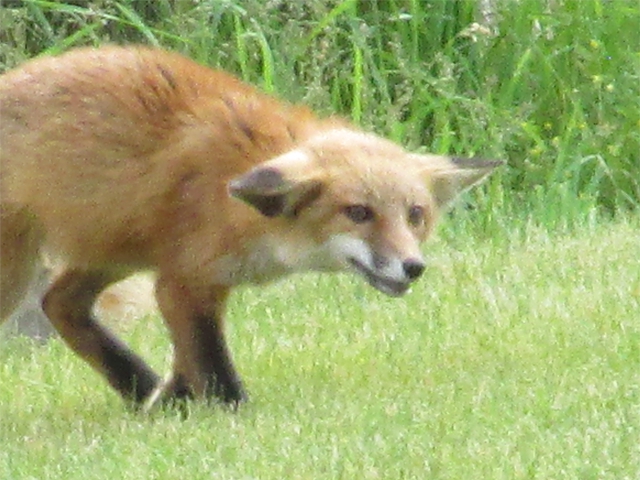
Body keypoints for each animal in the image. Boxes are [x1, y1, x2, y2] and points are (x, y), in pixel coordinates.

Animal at [0, 46, 499, 410]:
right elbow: (215, 370)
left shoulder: (181, 275)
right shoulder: (185, 282)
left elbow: (188, 363)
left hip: (115, 248)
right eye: (358, 213)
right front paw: (229, 417)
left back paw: (140, 389)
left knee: (60, 303)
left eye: (415, 215)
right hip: (23, 271)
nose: (413, 266)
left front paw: (176, 403)